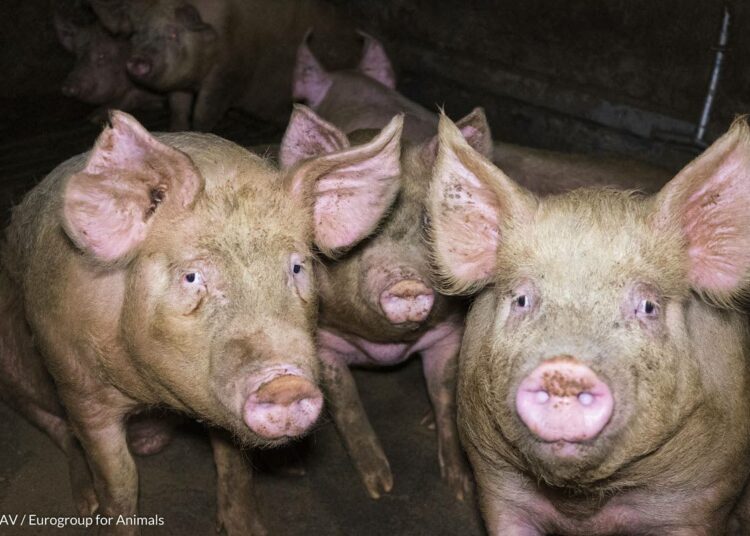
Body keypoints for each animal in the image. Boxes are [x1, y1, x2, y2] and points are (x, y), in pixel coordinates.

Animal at [0, 111, 406, 532]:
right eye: (192, 277)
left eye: (297, 267)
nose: (286, 385)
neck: (153, 394)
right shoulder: (78, 387)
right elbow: (121, 481)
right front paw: (106, 511)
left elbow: (233, 462)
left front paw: (248, 529)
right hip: (12, 366)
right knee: (57, 427)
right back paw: (86, 503)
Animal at [97, 0, 358, 131]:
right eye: (137, 34)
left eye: (172, 33)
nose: (137, 61)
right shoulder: (179, 85)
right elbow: (178, 109)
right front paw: (177, 130)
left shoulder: (227, 75)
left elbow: (204, 111)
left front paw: (201, 132)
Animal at [276, 105, 500, 502]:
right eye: (360, 232)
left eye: (428, 223)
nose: (406, 281)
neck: (386, 348)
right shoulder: (324, 344)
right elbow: (348, 408)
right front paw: (380, 488)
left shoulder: (448, 334)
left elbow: (444, 395)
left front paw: (460, 489)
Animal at [428, 111, 750, 532]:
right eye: (522, 299)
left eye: (648, 306)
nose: (564, 369)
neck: (582, 502)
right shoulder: (496, 484)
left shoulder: (702, 500)